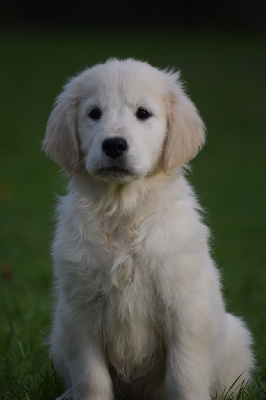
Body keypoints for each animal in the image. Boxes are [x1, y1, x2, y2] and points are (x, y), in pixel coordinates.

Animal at [43, 57, 254, 400]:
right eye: (94, 113)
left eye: (143, 113)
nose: (114, 145)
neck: (123, 212)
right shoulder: (79, 314)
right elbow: (91, 378)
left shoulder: (185, 308)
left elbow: (184, 376)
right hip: (59, 335)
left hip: (235, 338)